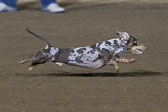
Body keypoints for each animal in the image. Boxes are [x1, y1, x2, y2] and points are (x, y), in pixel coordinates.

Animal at [19, 29, 147, 72]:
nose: (147, 47)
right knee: (31, 57)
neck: (112, 45)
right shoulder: (106, 59)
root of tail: (50, 47)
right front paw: (116, 68)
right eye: (136, 42)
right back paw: (23, 62)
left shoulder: (115, 56)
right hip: (41, 58)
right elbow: (115, 62)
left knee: (32, 59)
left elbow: (122, 59)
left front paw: (131, 60)